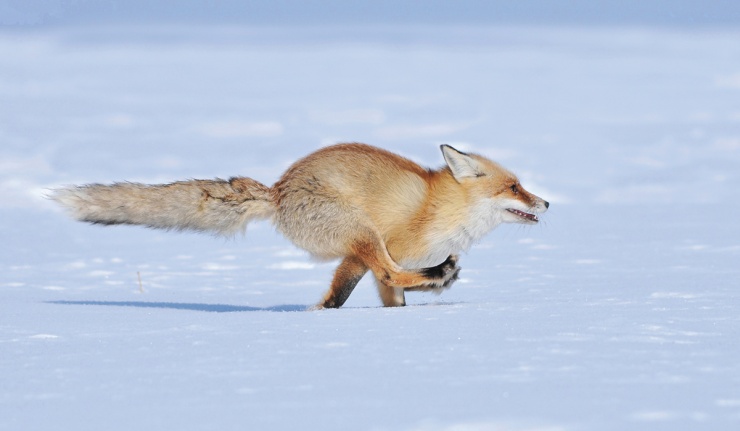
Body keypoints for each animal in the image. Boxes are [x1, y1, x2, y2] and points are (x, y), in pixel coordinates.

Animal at [52, 143, 548, 308]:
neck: (442, 208)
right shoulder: (375, 249)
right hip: (361, 230)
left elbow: (356, 298)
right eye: (515, 186)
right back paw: (441, 275)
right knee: (393, 271)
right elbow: (389, 278)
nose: (545, 202)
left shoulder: (356, 261)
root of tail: (278, 190)